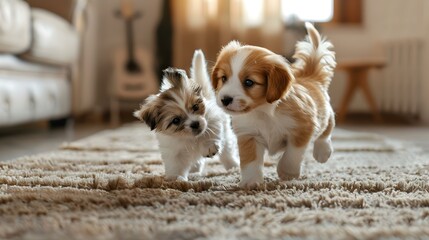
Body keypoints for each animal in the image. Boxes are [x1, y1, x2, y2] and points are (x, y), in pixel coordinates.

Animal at [212, 23, 336, 188]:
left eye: (249, 82)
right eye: (224, 78)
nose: (225, 99)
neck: (263, 112)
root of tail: (309, 78)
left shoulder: (302, 128)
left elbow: (292, 155)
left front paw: (287, 172)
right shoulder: (249, 135)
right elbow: (250, 162)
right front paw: (251, 182)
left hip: (324, 114)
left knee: (327, 127)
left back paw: (323, 151)